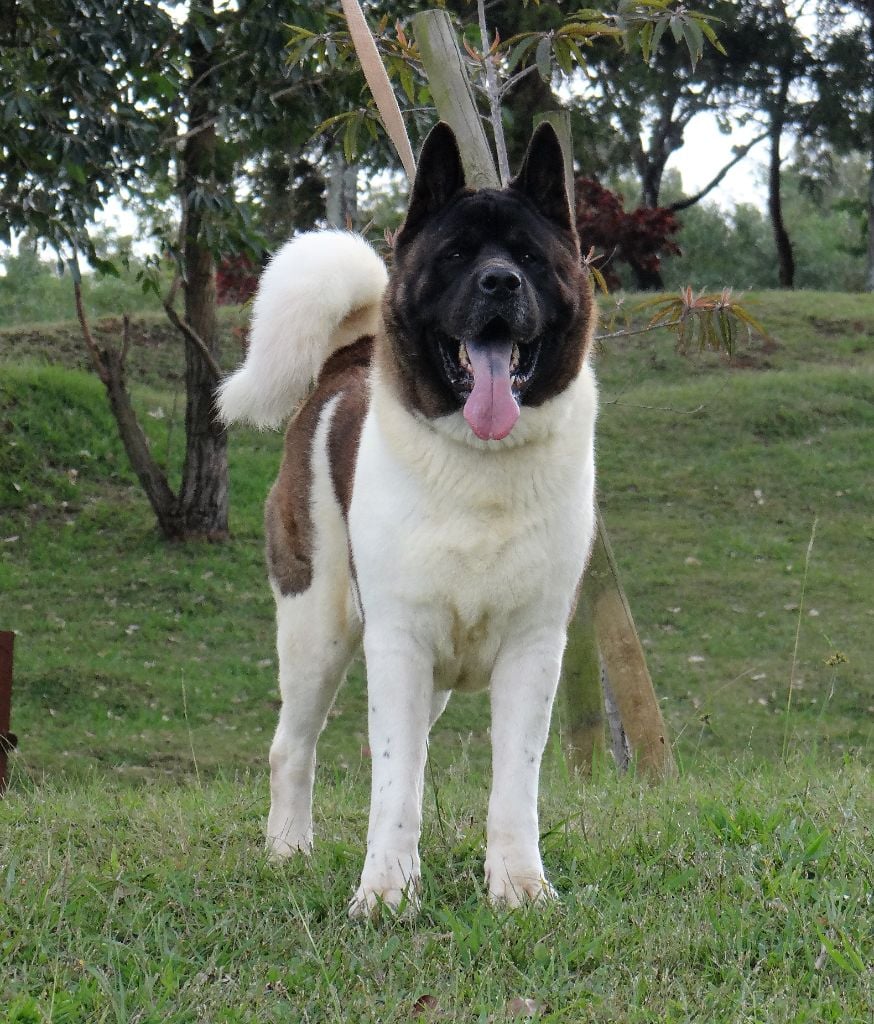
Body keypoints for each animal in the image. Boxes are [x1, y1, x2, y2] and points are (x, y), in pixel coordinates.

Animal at [219, 123, 597, 917]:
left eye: (528, 258)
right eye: (456, 256)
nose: (498, 283)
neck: (481, 462)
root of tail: (346, 359)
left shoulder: (534, 648)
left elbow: (513, 785)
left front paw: (519, 887)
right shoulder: (398, 644)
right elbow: (393, 787)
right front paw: (385, 894)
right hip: (317, 627)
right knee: (292, 746)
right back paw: (287, 850)